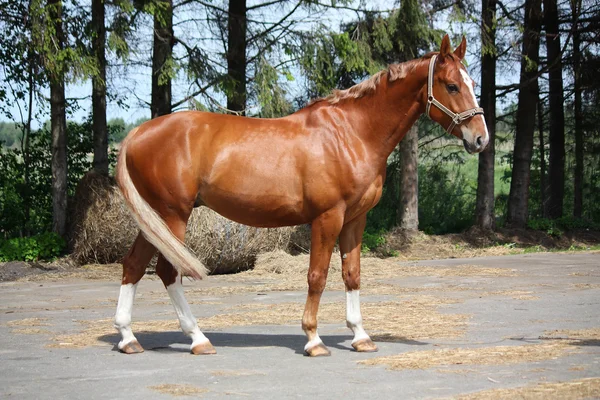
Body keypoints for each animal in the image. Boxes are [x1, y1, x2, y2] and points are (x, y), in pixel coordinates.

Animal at [115, 36, 490, 356]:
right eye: (452, 85)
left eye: (472, 84)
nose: (481, 139)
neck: (351, 133)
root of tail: (138, 132)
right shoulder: (328, 217)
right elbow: (317, 276)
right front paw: (313, 339)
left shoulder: (355, 219)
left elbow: (352, 274)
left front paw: (360, 337)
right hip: (173, 215)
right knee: (167, 271)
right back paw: (198, 339)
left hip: (155, 218)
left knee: (134, 265)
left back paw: (128, 338)